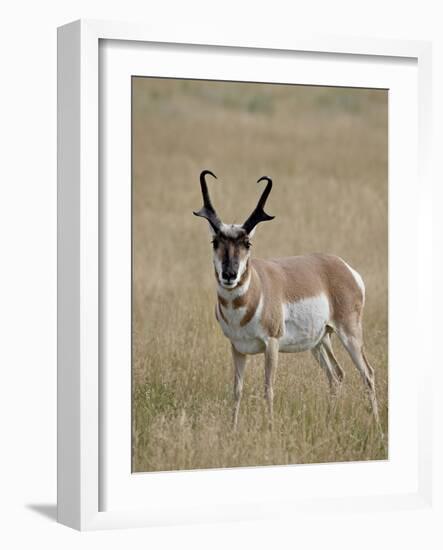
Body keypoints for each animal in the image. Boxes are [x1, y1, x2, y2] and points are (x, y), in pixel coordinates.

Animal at [194, 170, 382, 434]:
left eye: (247, 243)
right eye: (215, 242)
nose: (229, 275)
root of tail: (344, 267)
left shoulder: (271, 344)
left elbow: (268, 388)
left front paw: (270, 429)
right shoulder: (237, 348)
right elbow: (237, 390)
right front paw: (232, 430)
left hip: (349, 334)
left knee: (368, 373)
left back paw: (377, 427)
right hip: (320, 341)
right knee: (336, 375)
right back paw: (329, 423)